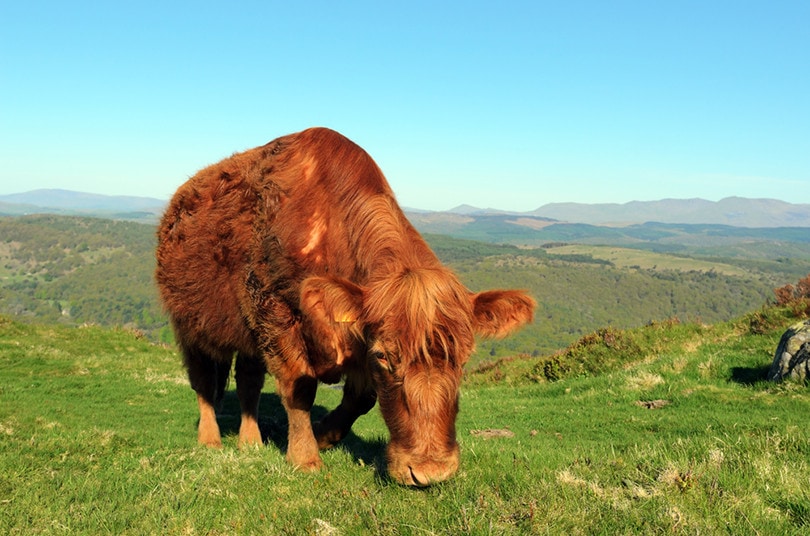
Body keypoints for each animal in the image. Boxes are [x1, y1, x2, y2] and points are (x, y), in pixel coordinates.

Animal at [156, 126, 536, 486]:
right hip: (189, 324)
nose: (430, 470)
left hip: (248, 333)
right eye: (384, 356)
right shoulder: (276, 315)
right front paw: (305, 457)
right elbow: (300, 387)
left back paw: (251, 441)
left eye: (464, 358)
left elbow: (361, 398)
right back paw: (210, 439)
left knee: (248, 379)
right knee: (204, 381)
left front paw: (324, 434)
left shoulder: (352, 337)